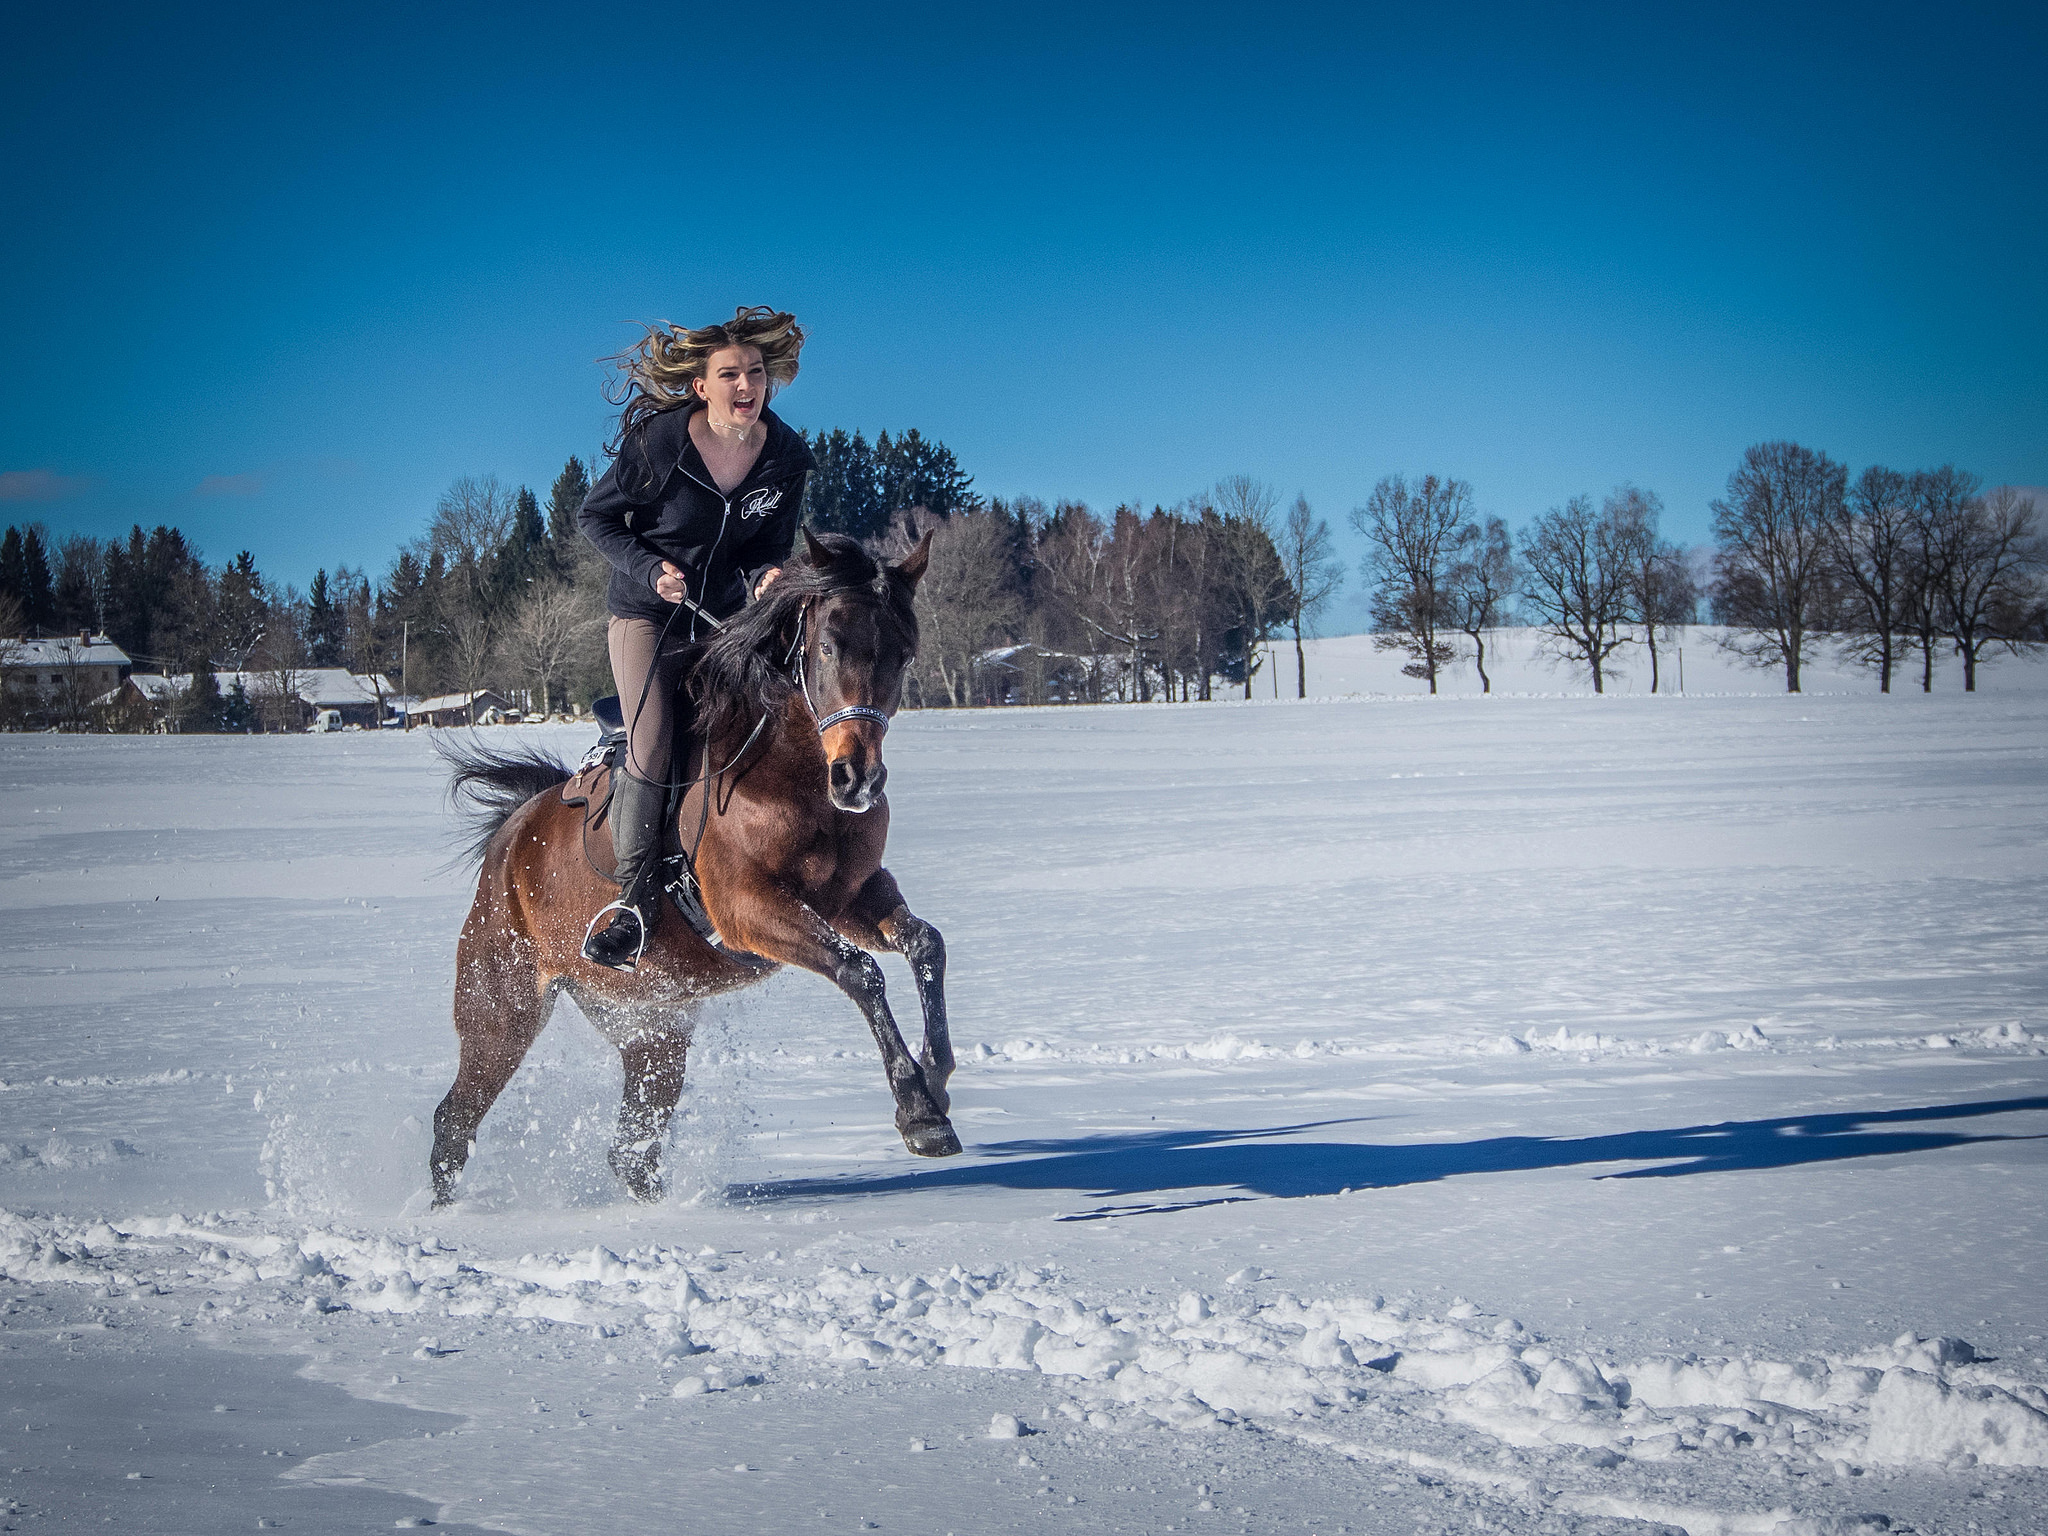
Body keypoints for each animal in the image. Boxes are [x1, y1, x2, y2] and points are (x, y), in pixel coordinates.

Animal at [432, 536, 958, 1212]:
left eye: (904, 652)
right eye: (827, 645)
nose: (857, 780)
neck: (793, 775)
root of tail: (511, 836)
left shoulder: (852, 897)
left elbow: (925, 945)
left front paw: (937, 1080)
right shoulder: (748, 908)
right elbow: (860, 972)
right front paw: (919, 1111)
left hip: (651, 1029)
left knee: (631, 1149)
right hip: (503, 1009)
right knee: (456, 1118)